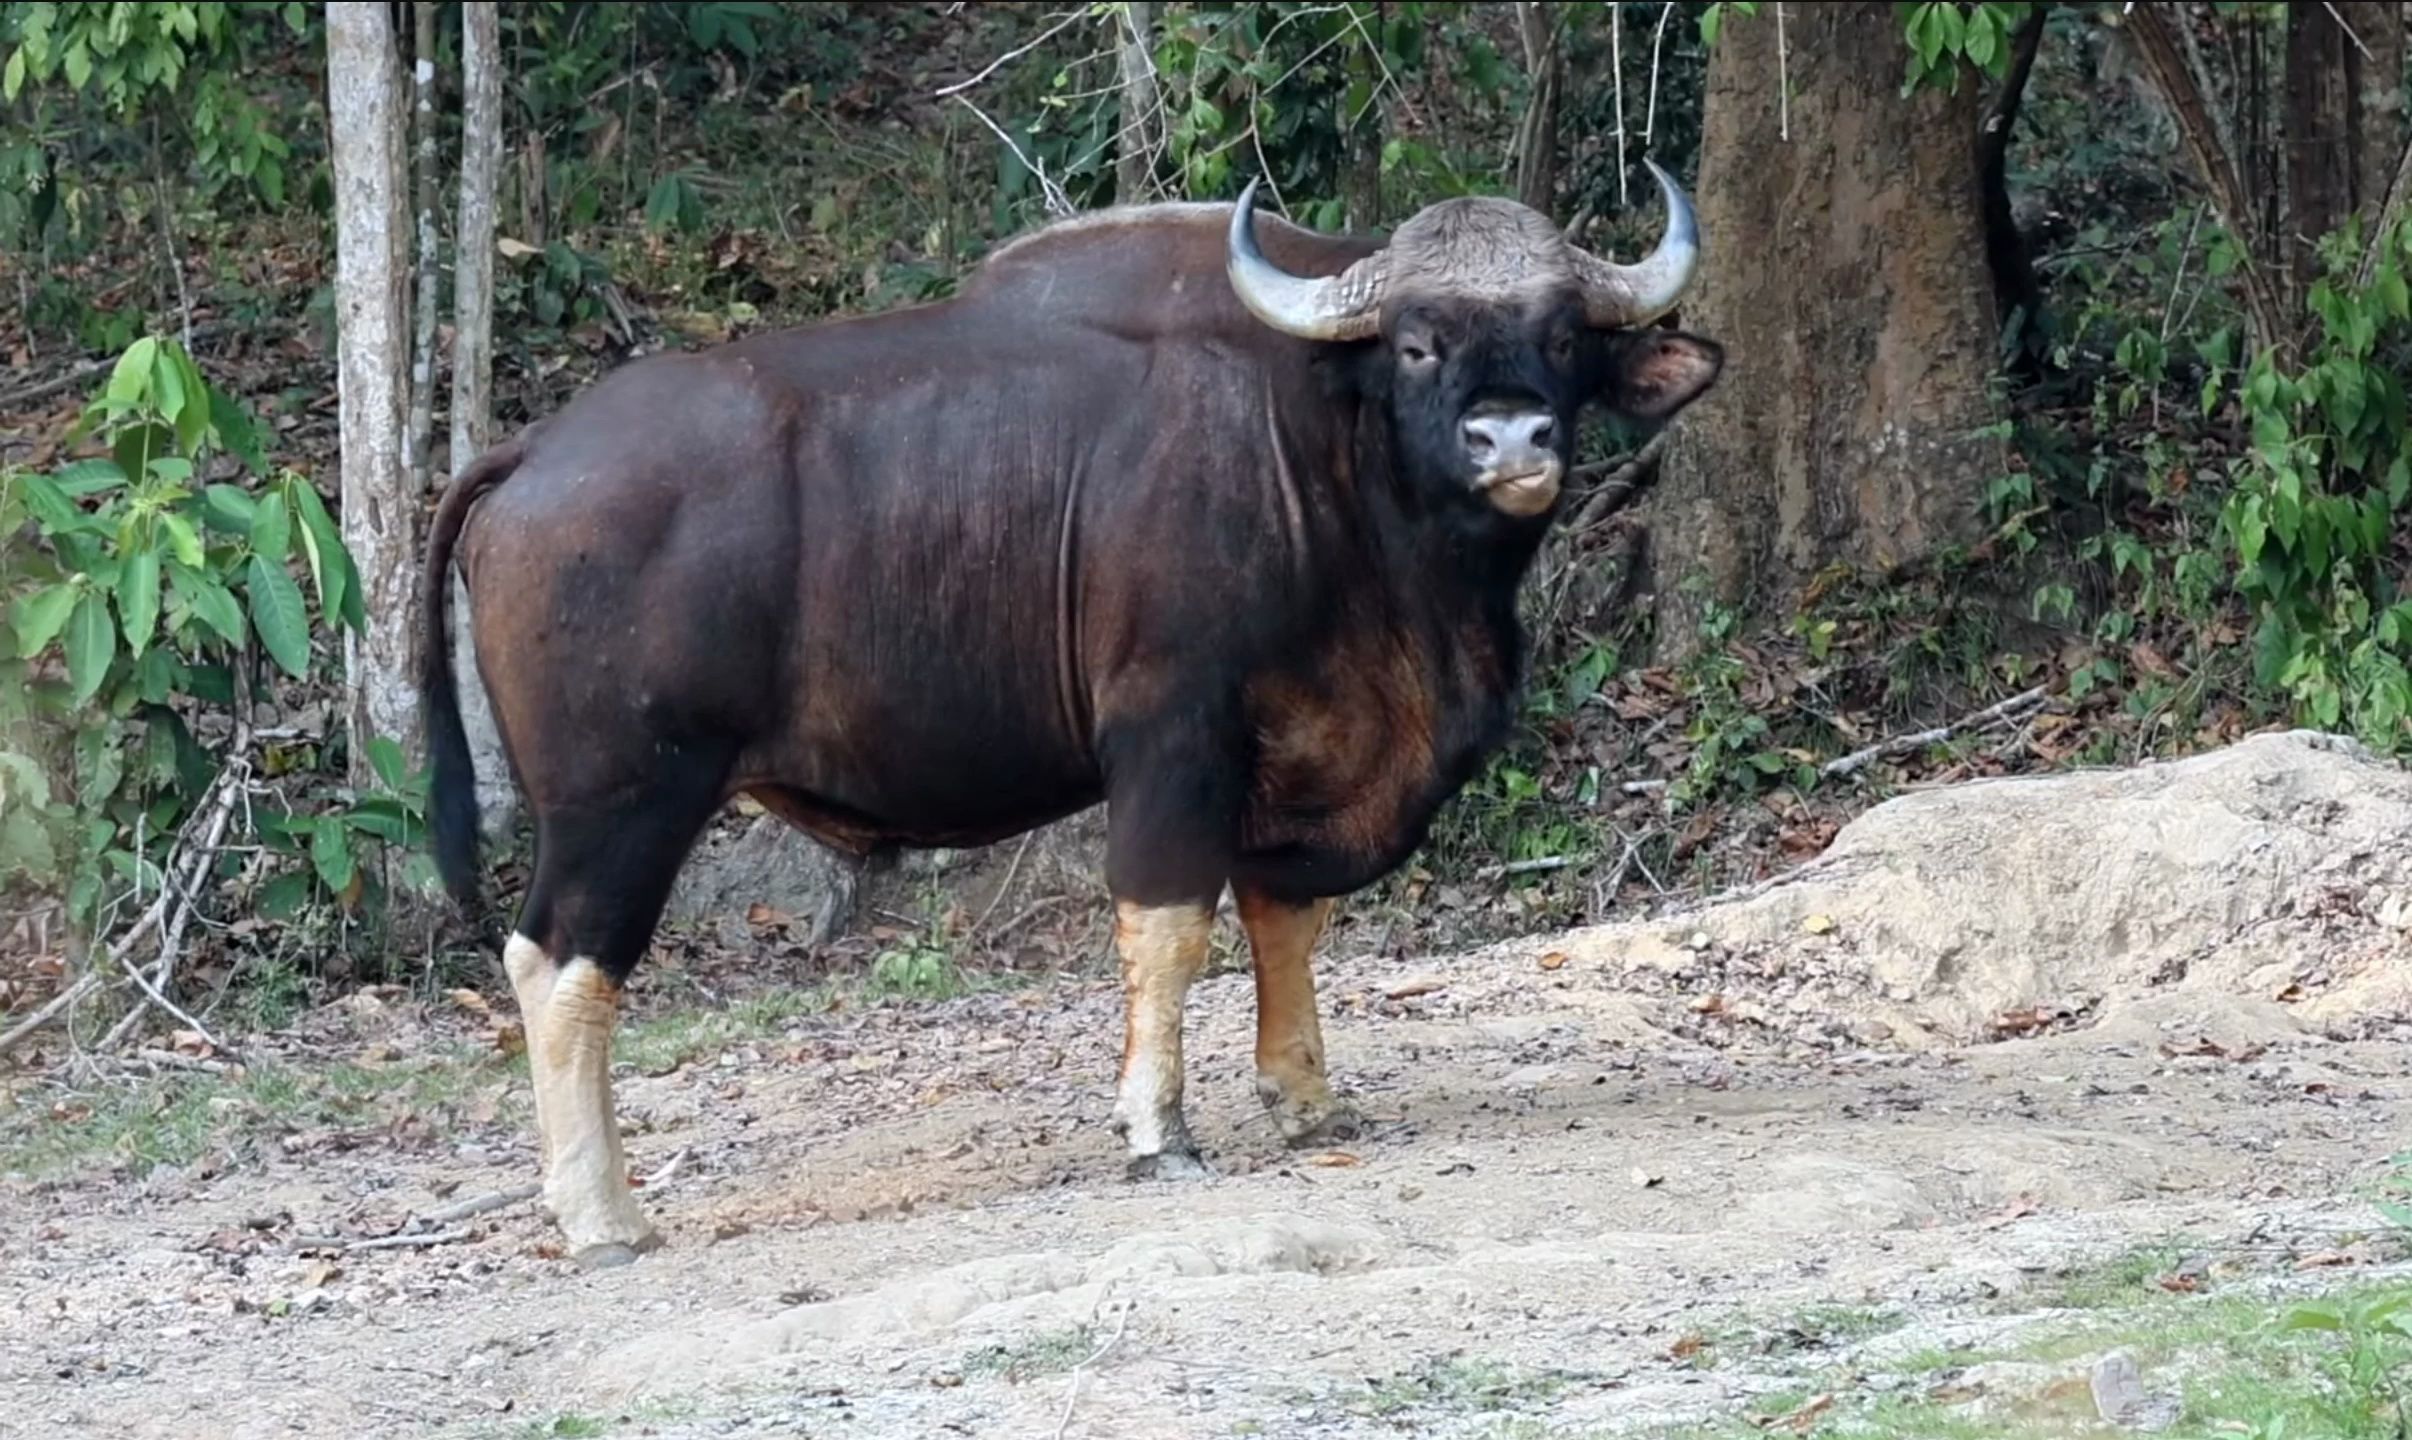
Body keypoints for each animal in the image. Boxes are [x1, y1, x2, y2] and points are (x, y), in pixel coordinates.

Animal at [424, 168, 1726, 1263]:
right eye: (1416, 343)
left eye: (1562, 335)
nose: (1512, 437)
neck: (1322, 453)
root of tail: (533, 451)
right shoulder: (1172, 738)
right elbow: (1170, 929)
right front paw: (1160, 1129)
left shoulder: (1300, 750)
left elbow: (1288, 917)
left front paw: (1304, 1098)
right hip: (625, 802)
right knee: (563, 965)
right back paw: (601, 1213)